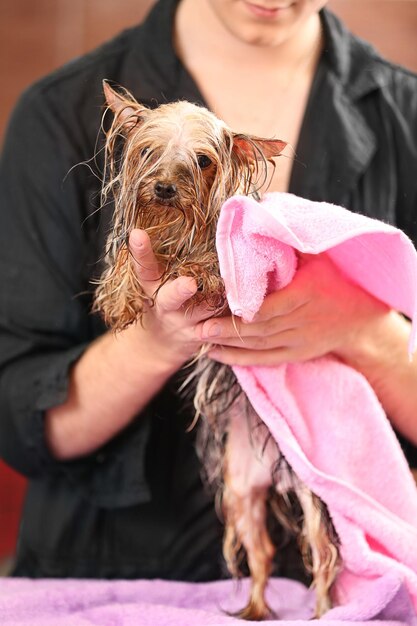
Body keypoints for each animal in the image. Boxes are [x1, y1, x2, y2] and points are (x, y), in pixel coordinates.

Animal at [96, 80, 340, 616]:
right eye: (147, 152)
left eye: (203, 161)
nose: (165, 188)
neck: (177, 228)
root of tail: (274, 467)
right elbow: (132, 254)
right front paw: (121, 293)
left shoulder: (247, 272)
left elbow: (213, 266)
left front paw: (198, 267)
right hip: (240, 492)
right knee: (262, 551)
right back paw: (254, 611)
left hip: (312, 497)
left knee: (324, 559)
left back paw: (329, 613)